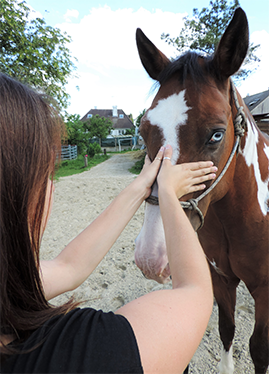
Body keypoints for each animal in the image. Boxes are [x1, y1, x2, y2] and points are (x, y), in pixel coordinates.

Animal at [134, 6, 269, 374]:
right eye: (144, 130)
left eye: (216, 134)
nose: (151, 257)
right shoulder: (220, 279)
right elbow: (227, 330)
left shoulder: (266, 291)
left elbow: (258, 350)